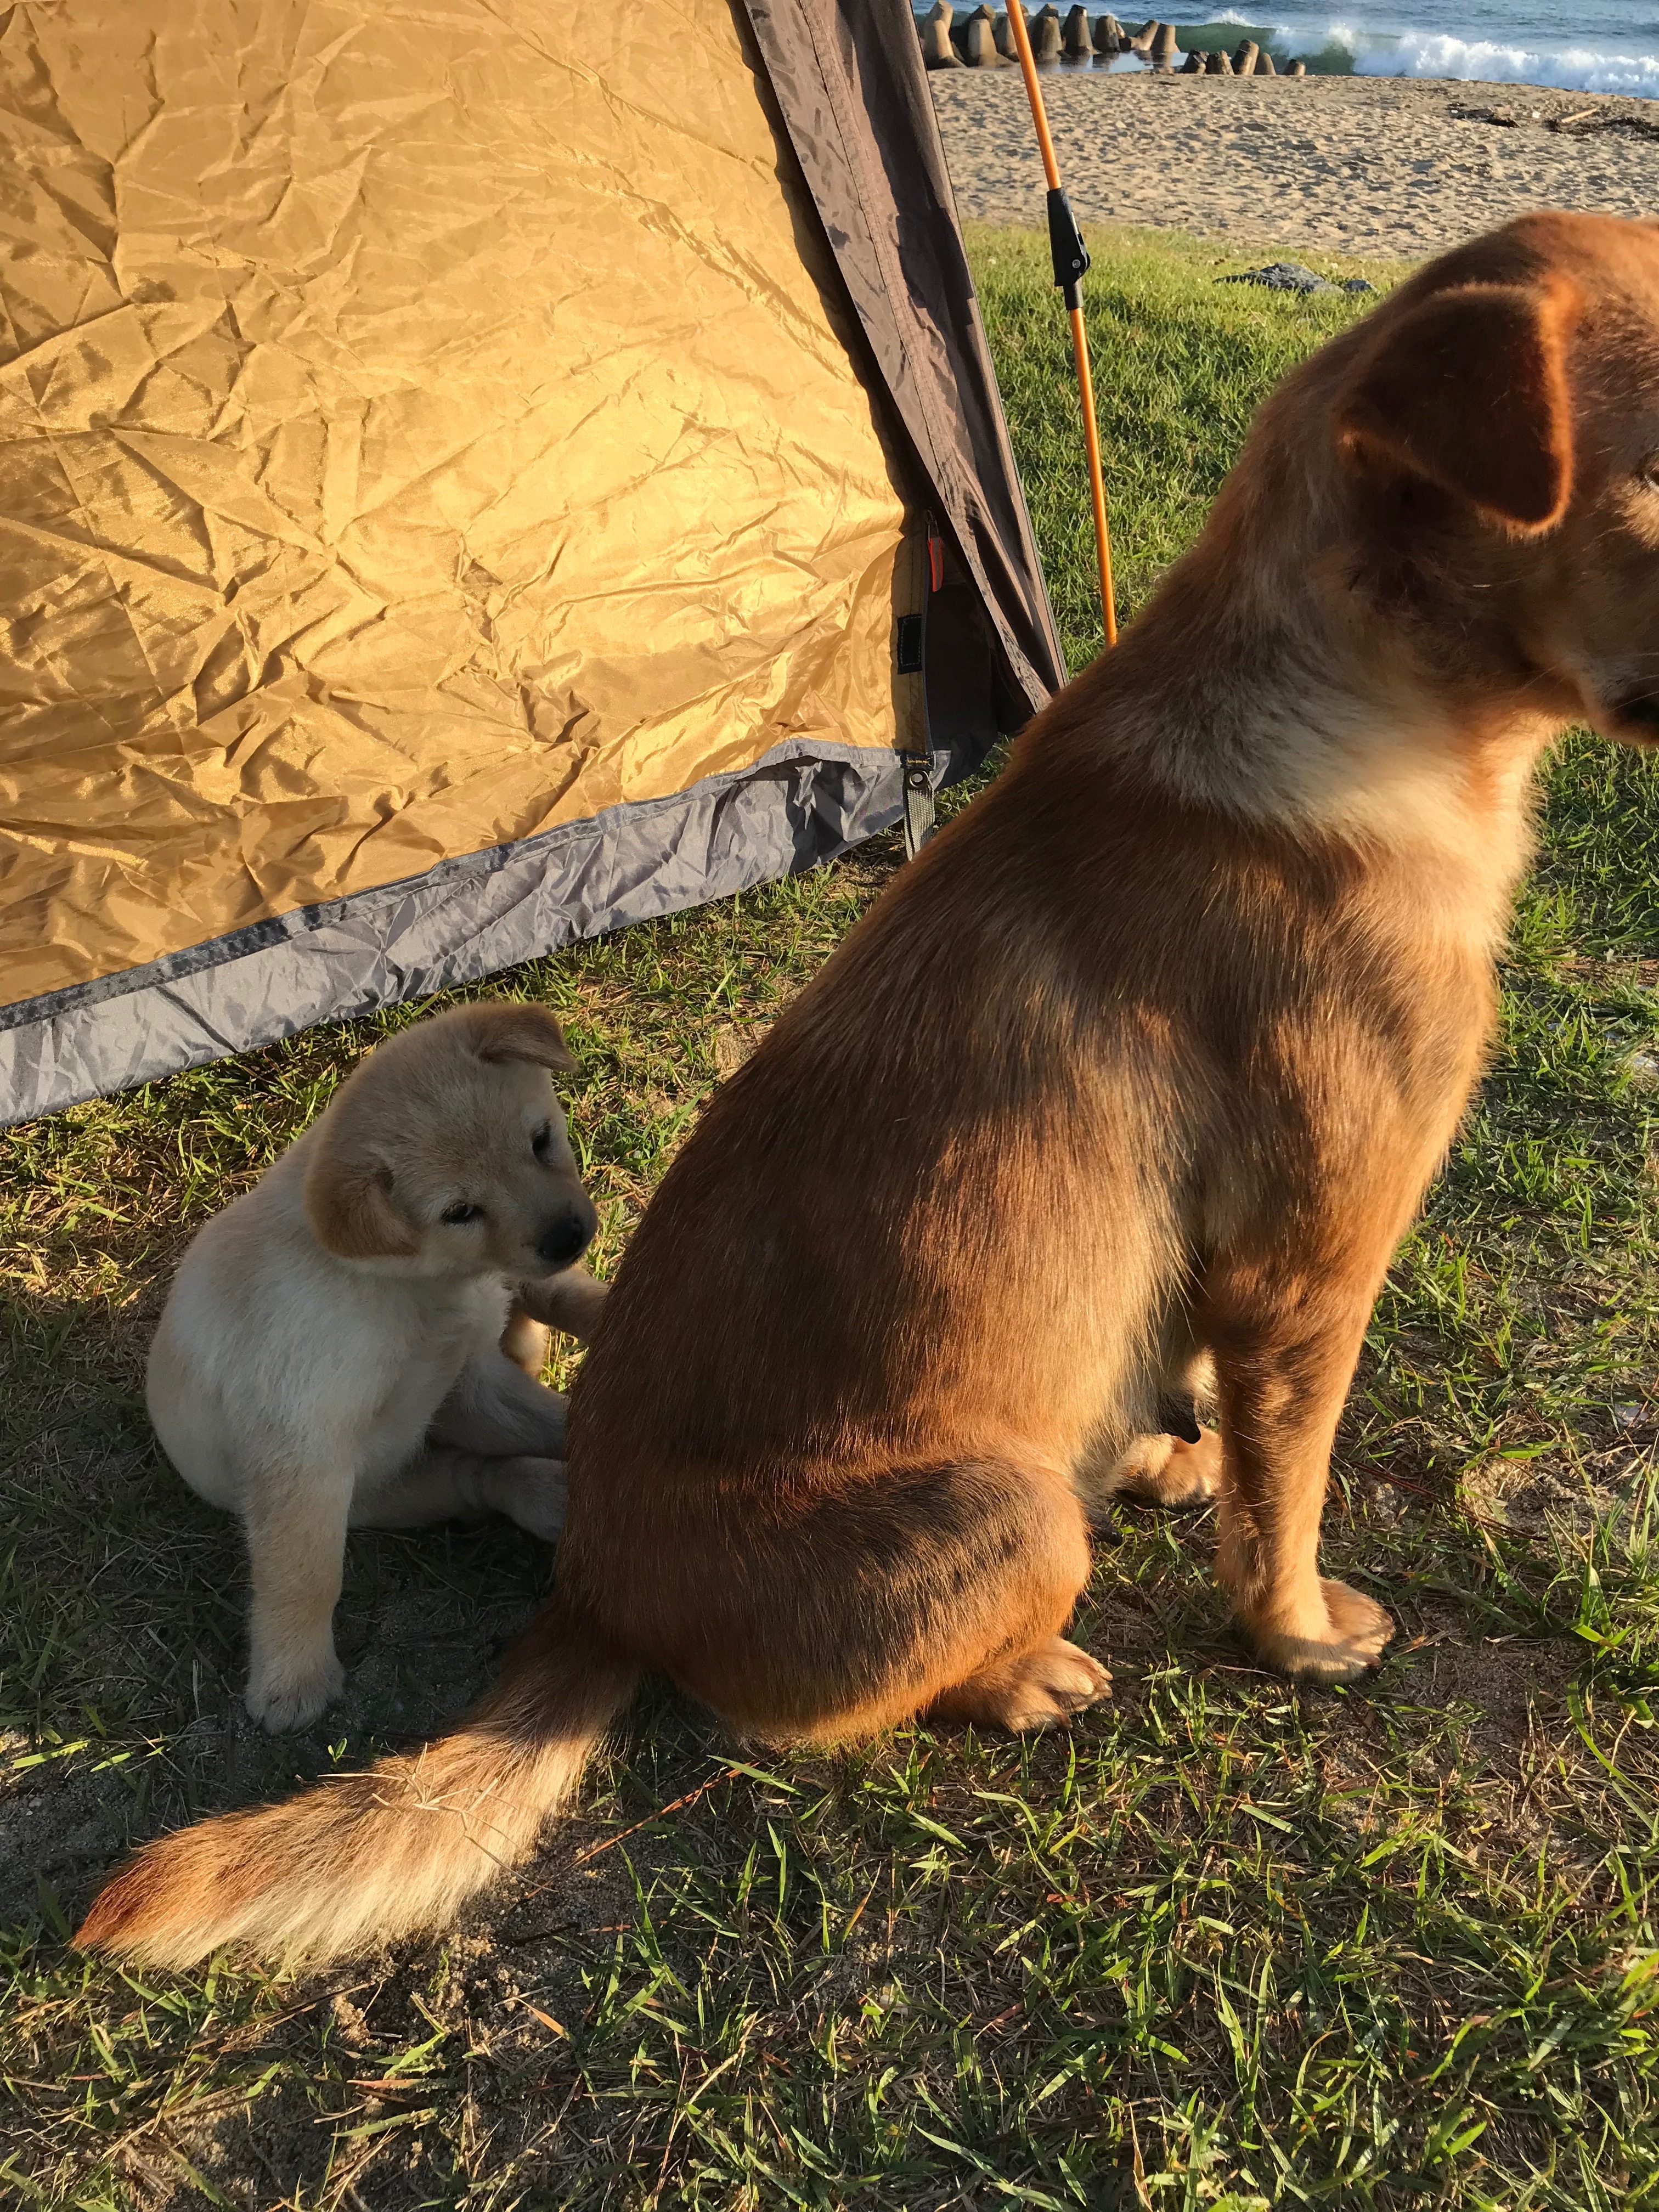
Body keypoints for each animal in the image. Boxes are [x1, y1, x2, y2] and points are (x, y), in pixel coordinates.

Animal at [142, 1001, 607, 1731]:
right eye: (459, 1211)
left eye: (540, 1141)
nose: (568, 1237)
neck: (407, 1288)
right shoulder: (306, 1457)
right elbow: (306, 1576)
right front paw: (292, 1681)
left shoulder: (470, 1381)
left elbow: (561, 1416)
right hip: (395, 1492)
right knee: (482, 1478)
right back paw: (547, 1492)